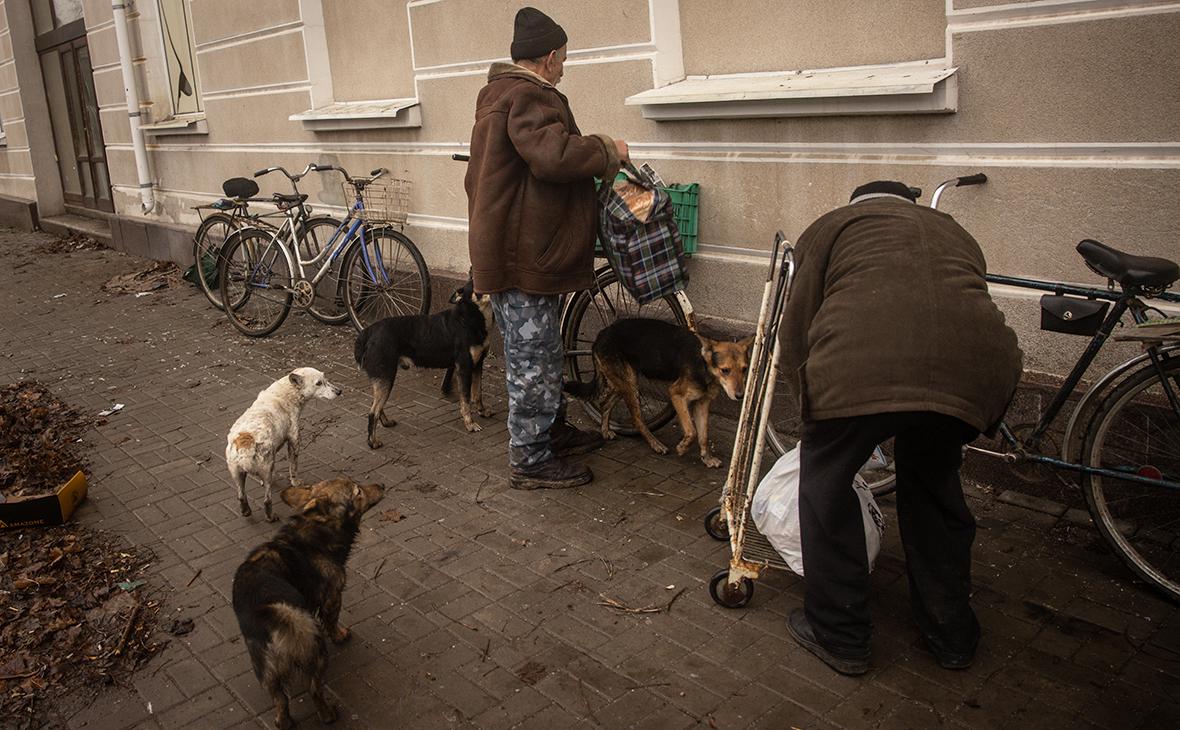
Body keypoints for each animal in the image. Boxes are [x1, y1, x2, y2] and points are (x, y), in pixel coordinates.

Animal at [226, 370, 344, 518]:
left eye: (326, 379)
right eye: (318, 383)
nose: (339, 391)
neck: (287, 392)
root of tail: (245, 443)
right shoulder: (294, 440)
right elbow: (293, 467)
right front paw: (295, 482)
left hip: (237, 474)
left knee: (241, 496)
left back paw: (246, 511)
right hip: (264, 470)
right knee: (267, 500)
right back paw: (271, 517)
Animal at [234, 478, 387, 730]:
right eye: (357, 491)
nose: (382, 485)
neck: (315, 530)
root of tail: (271, 612)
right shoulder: (333, 596)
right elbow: (332, 621)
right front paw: (340, 635)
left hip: (266, 670)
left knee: (280, 700)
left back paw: (284, 722)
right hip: (316, 654)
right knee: (314, 690)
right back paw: (328, 714)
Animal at [353, 279, 493, 448]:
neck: (468, 318)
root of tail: (369, 331)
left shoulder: (478, 364)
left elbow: (477, 394)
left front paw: (482, 411)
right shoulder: (464, 368)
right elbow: (466, 401)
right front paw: (470, 424)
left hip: (383, 378)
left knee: (377, 407)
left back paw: (386, 423)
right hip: (386, 376)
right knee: (372, 412)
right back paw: (372, 442)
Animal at [564, 318, 750, 469]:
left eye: (744, 369)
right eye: (725, 370)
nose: (740, 396)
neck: (704, 364)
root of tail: (601, 334)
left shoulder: (702, 404)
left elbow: (703, 435)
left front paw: (707, 458)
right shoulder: (676, 395)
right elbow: (692, 431)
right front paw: (682, 448)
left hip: (624, 382)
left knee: (605, 403)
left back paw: (605, 430)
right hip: (629, 385)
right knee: (637, 420)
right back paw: (656, 444)